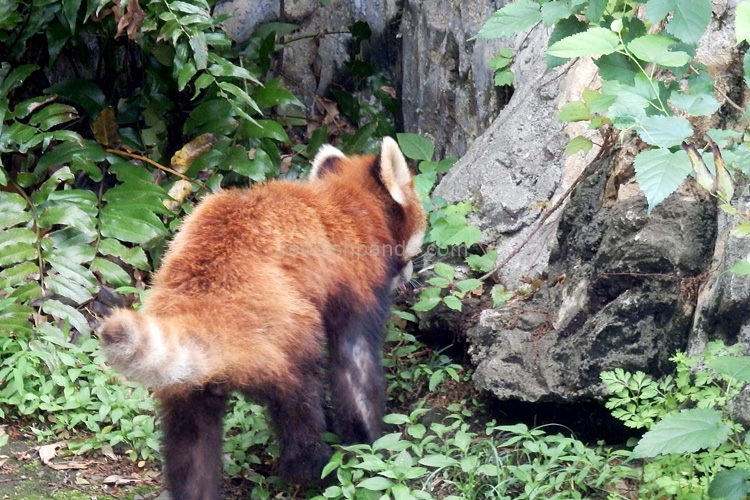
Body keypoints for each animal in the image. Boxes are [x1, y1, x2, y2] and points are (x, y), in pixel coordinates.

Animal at [99, 137, 426, 500]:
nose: (409, 274)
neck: (350, 207)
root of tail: (201, 305)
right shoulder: (356, 284)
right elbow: (355, 368)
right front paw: (371, 444)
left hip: (187, 385)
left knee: (192, 447)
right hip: (285, 330)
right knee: (299, 399)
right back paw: (315, 468)